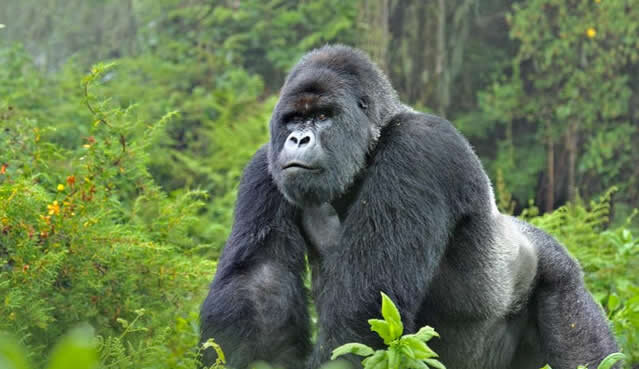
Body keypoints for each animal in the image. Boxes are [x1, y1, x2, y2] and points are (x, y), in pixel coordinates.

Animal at [200, 43, 620, 368]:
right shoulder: (265, 165)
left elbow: (366, 303)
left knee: (582, 343)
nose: (299, 140)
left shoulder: (418, 149)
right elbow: (259, 283)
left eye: (321, 116)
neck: (373, 140)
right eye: (294, 119)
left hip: (560, 277)